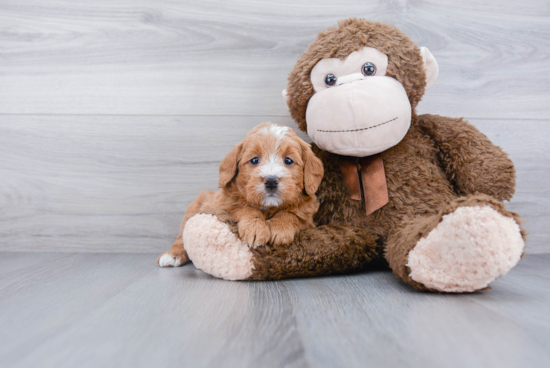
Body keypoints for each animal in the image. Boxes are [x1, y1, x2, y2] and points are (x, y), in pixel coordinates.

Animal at [157, 123, 326, 268]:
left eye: (289, 161)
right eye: (255, 160)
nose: (271, 180)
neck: (268, 207)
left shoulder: (308, 219)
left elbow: (292, 214)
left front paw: (280, 228)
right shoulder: (225, 205)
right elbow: (244, 208)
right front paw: (255, 228)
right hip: (195, 206)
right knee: (182, 237)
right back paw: (172, 255)